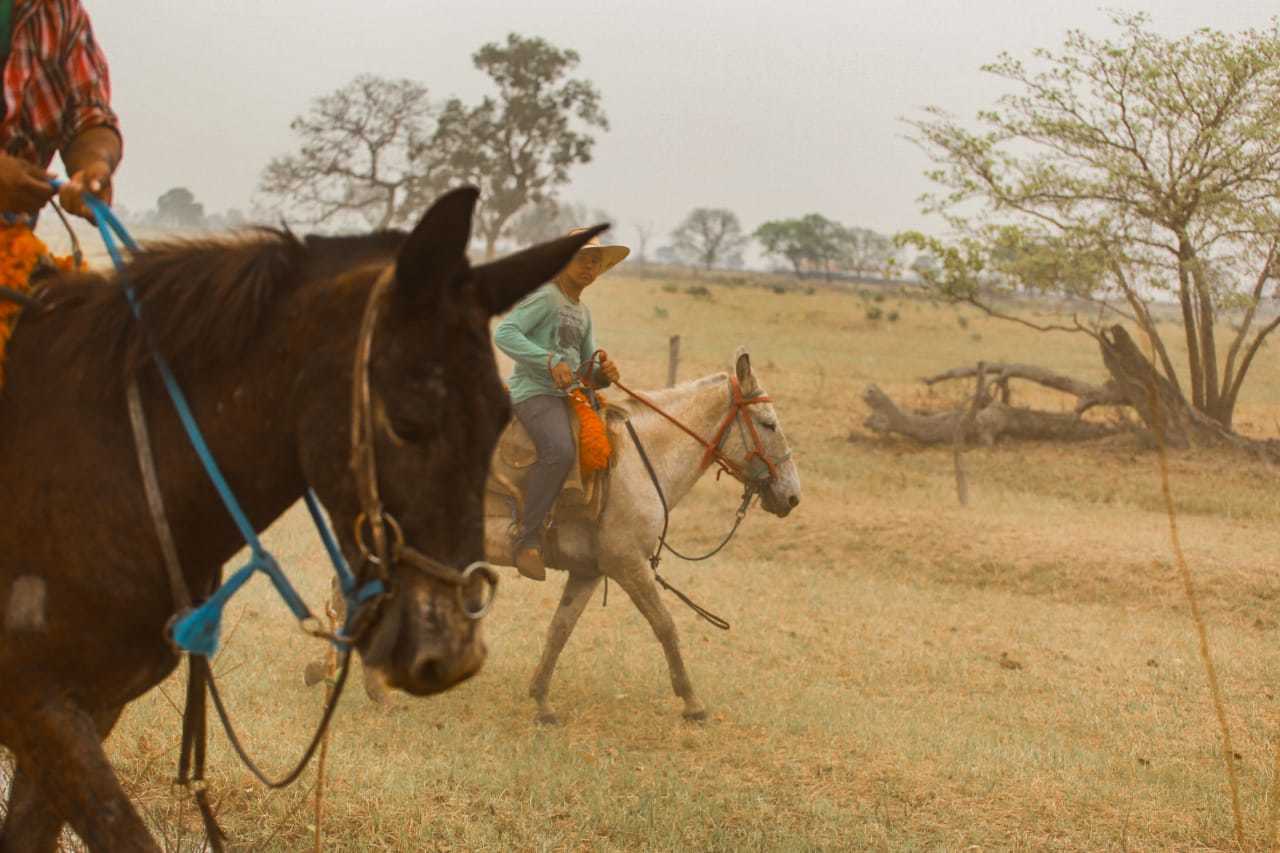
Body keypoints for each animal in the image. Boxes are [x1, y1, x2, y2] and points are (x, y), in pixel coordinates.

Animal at [486, 343, 798, 717]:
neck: (643, 459)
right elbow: (664, 624)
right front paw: (692, 702)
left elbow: (560, 628)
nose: (792, 496)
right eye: (768, 424)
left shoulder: (588, 571)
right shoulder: (628, 564)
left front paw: (541, 700)